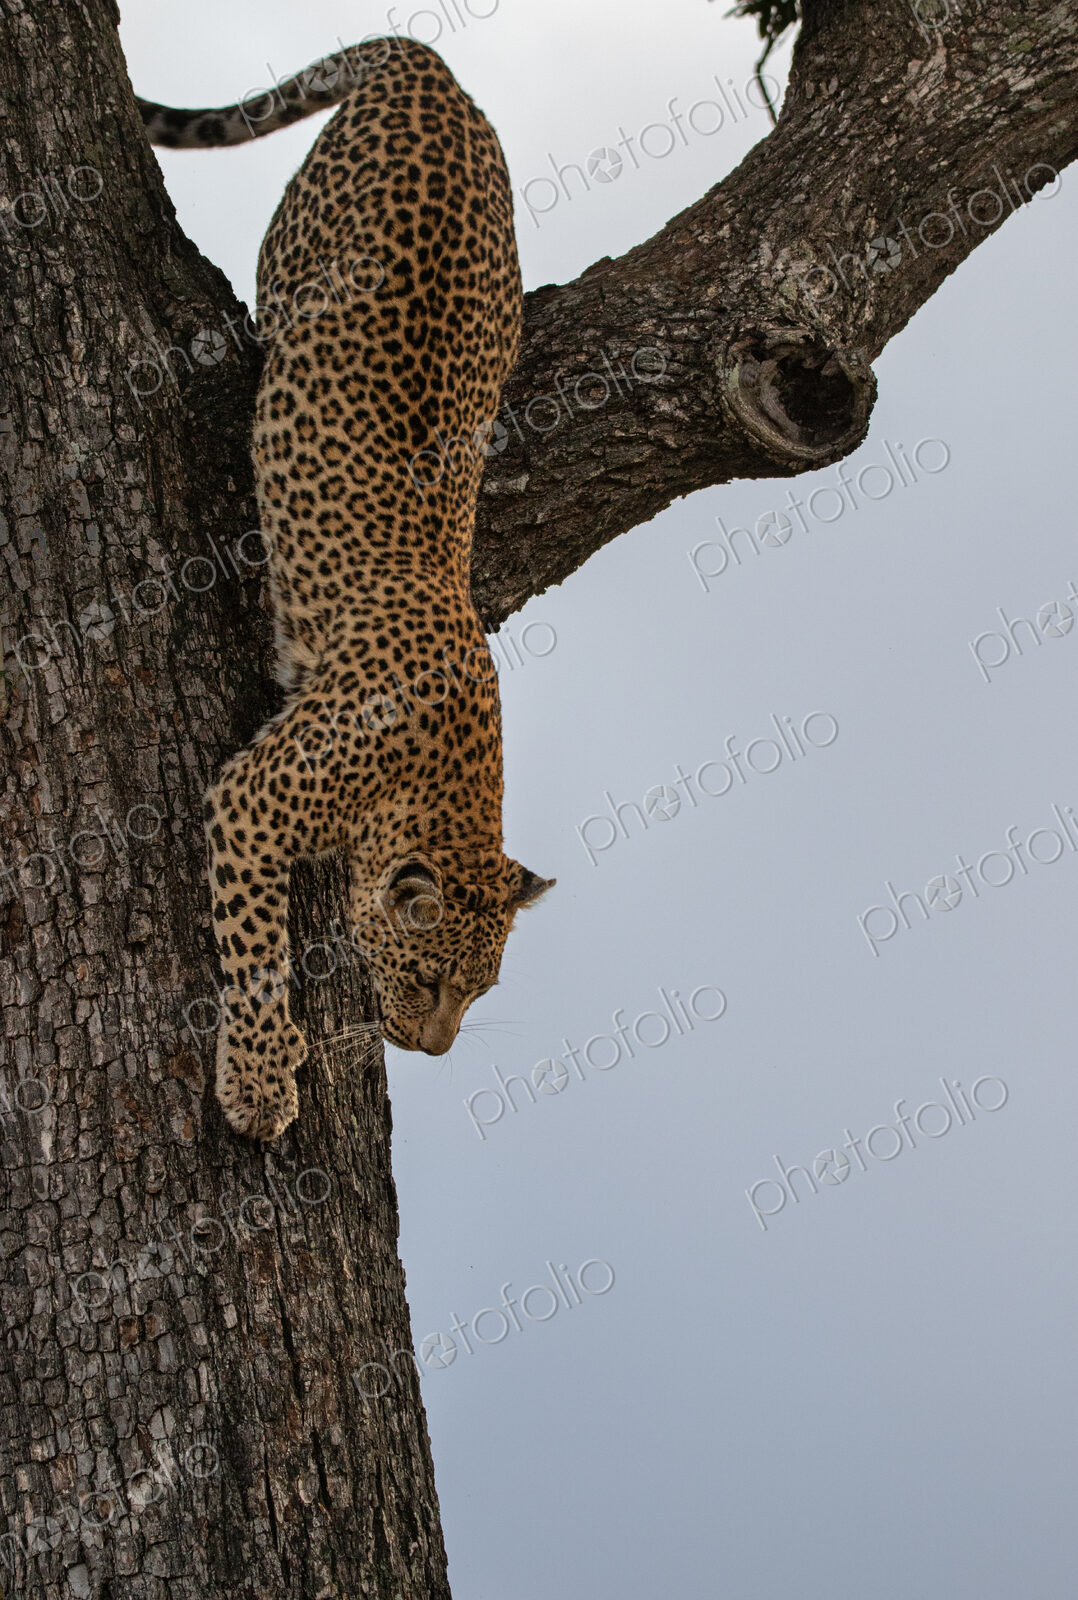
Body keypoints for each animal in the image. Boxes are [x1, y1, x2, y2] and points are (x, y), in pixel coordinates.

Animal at [140, 38, 554, 1141]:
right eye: (435, 976)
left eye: (482, 992)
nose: (435, 1048)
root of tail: (435, 70)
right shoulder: (252, 800)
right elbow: (254, 949)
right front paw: (259, 1078)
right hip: (297, 248)